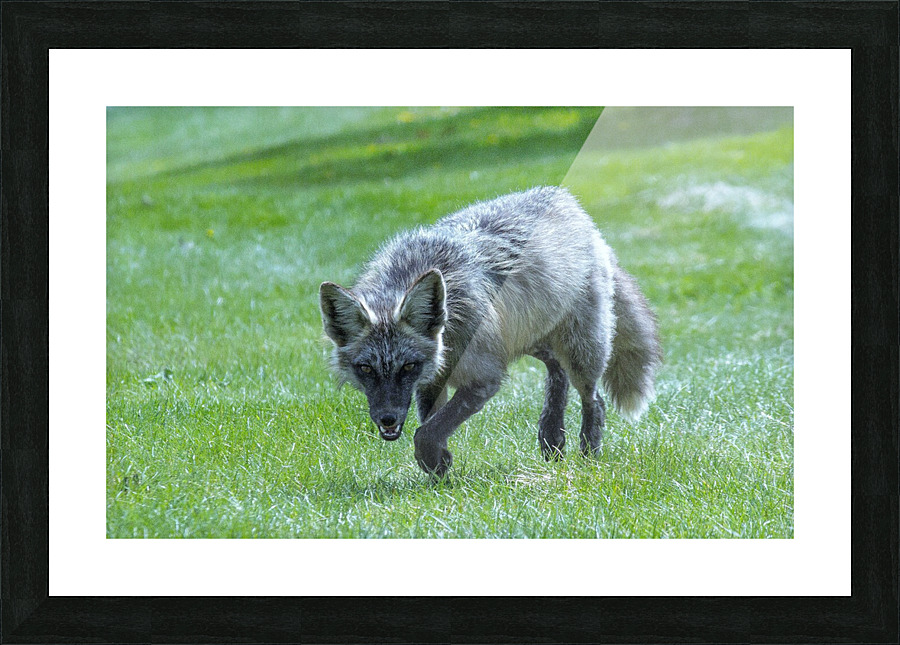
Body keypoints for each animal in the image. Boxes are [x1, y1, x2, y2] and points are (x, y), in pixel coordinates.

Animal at [319, 186, 661, 477]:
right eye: (365, 368)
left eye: (408, 366)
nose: (387, 419)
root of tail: (569, 201)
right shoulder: (432, 381)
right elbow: (430, 424)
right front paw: (439, 467)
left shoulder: (483, 379)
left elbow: (426, 433)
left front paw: (435, 462)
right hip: (525, 339)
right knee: (556, 371)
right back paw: (552, 436)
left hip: (580, 350)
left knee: (594, 400)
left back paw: (588, 454)